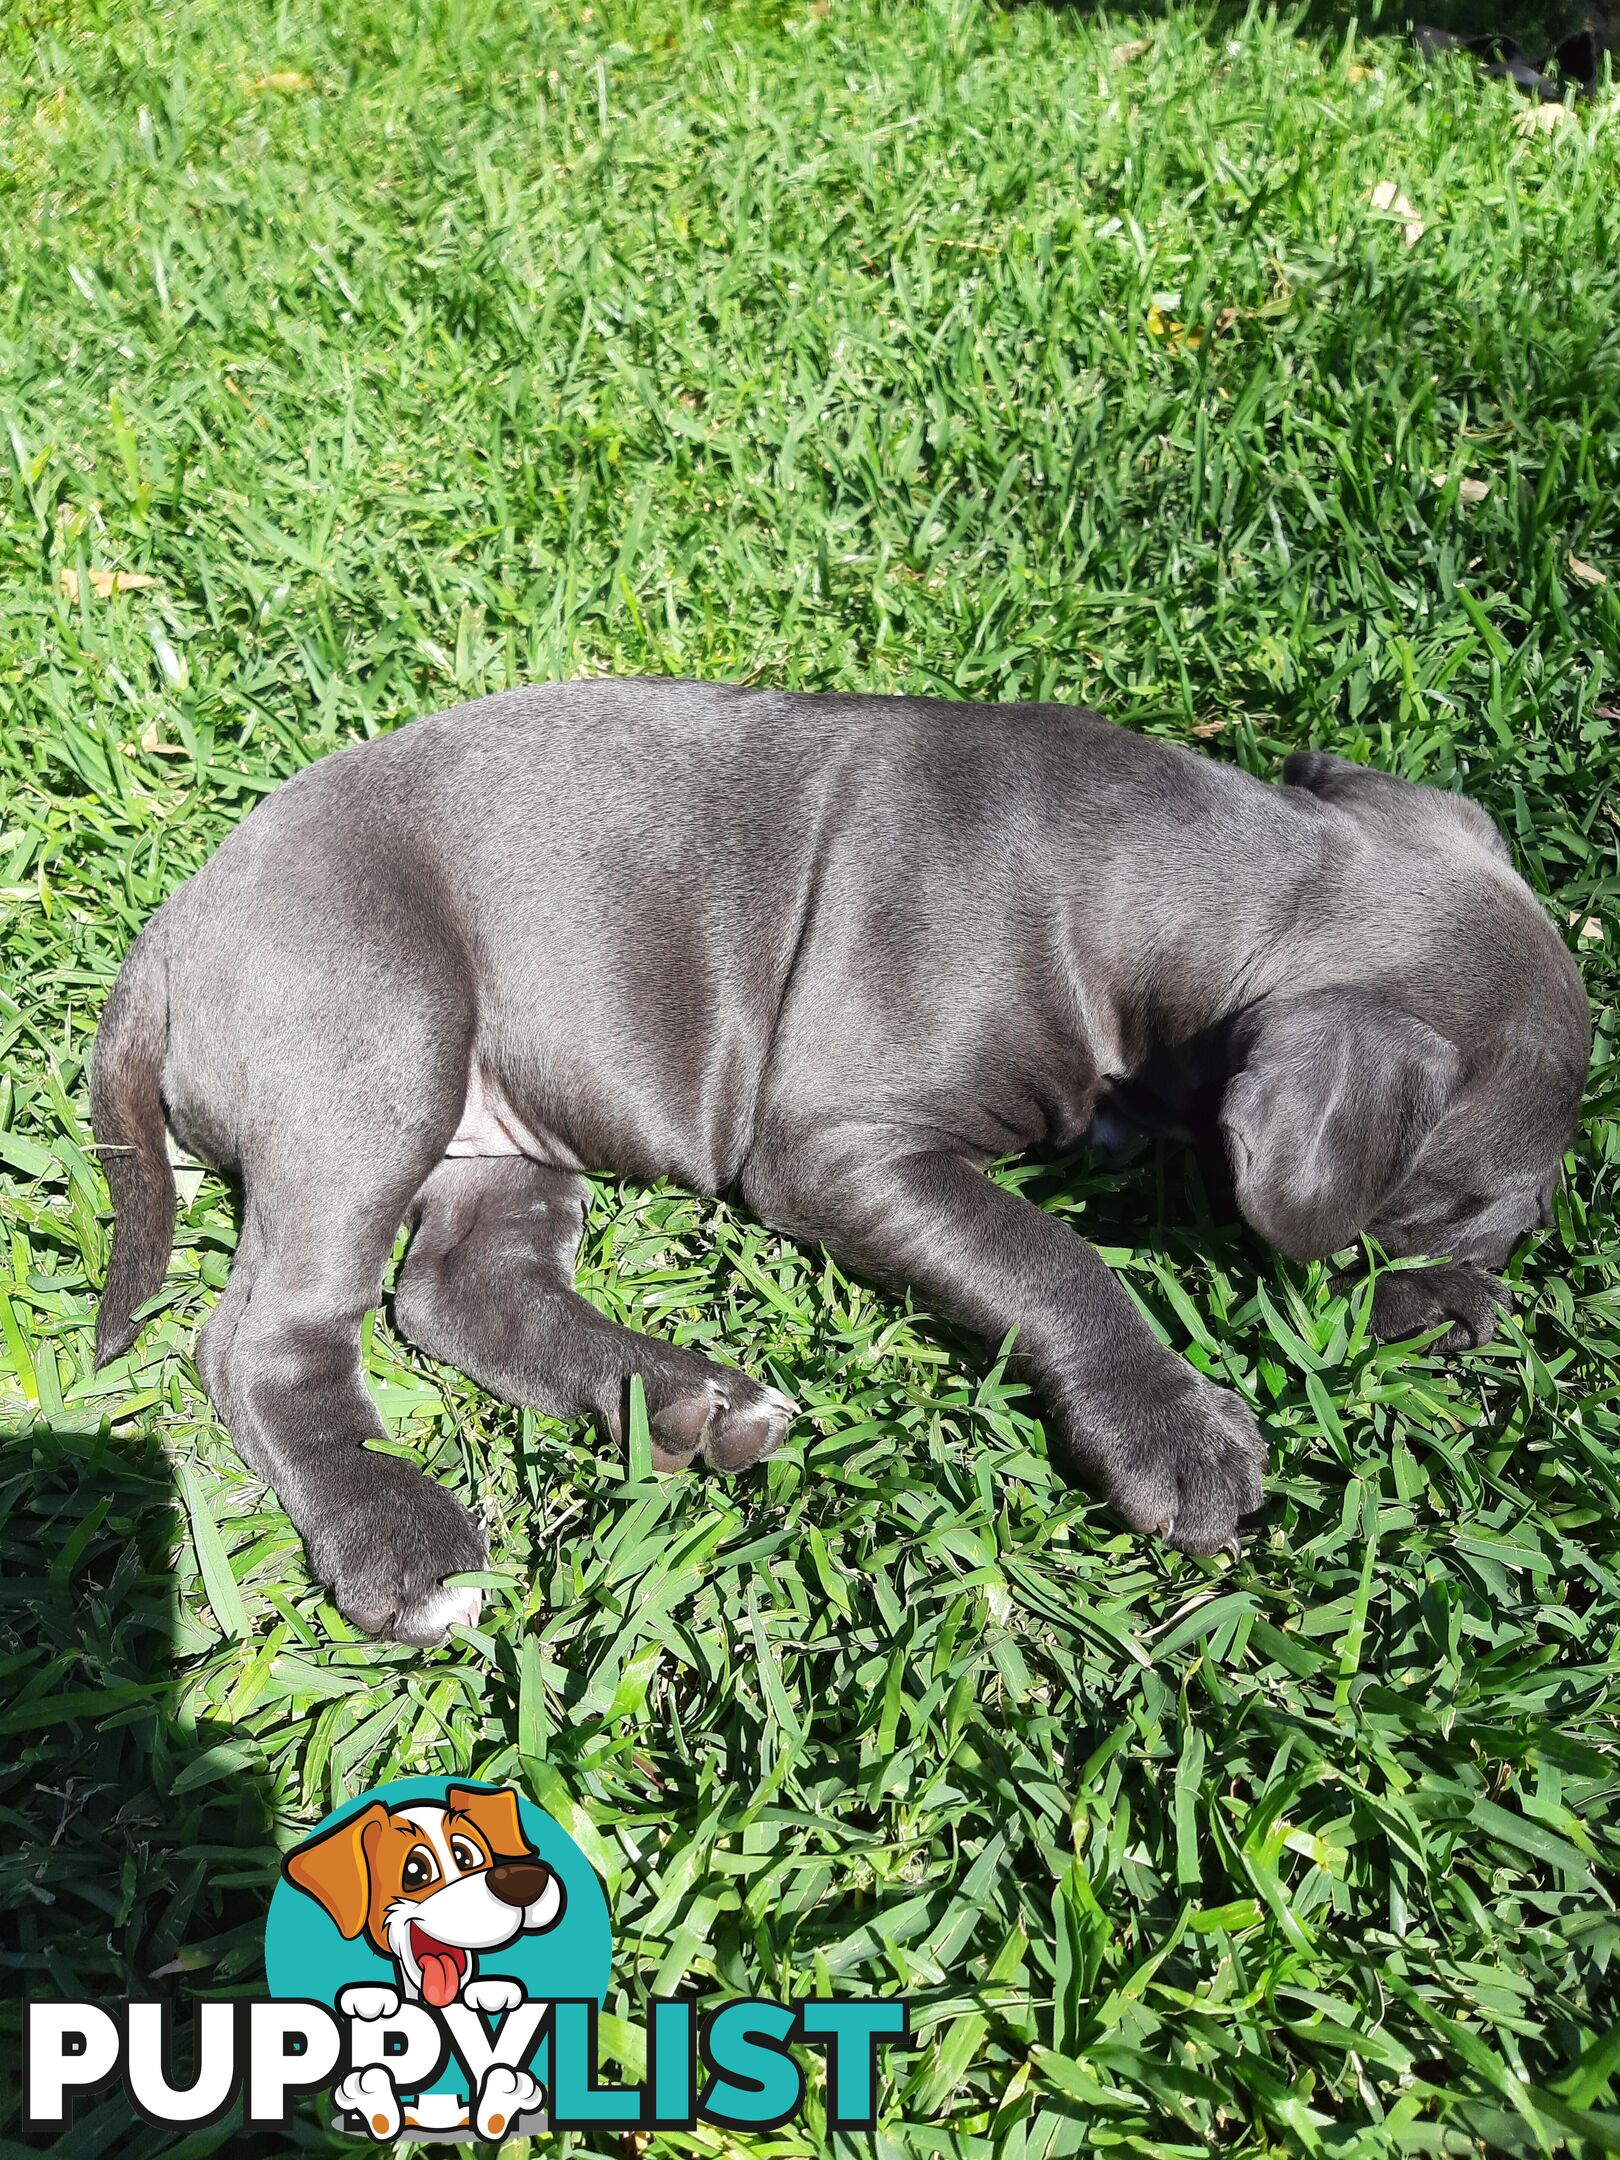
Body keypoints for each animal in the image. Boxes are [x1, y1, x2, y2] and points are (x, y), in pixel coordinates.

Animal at [85, 682, 1589, 1641]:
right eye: (1478, 1210)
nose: (1491, 1315)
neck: (1180, 888)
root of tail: (176, 923)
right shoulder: (839, 1145)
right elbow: (1049, 1255)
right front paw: (1169, 1425)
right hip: (379, 1039)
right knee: (265, 1340)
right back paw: (398, 1537)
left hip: (506, 1115)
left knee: (463, 1290)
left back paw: (686, 1407)